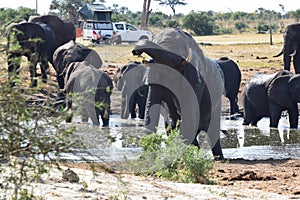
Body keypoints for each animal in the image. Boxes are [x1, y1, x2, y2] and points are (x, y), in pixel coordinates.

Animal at [132, 27, 225, 159]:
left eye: (177, 49)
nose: (135, 52)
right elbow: (152, 106)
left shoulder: (194, 77)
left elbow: (188, 111)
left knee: (212, 129)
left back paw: (219, 158)